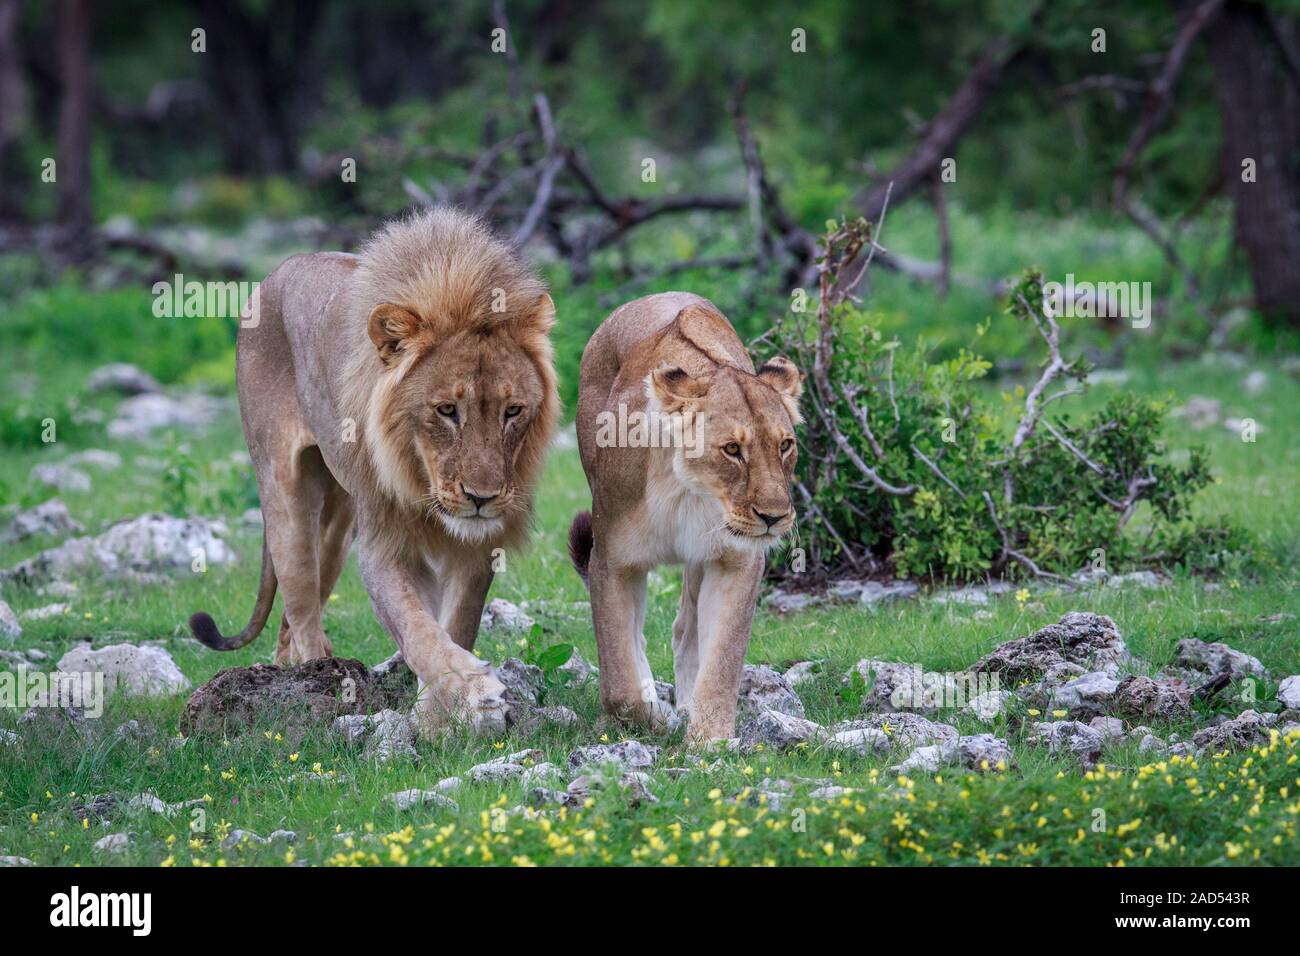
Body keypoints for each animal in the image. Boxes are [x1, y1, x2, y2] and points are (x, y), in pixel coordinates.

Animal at [188, 207, 559, 737]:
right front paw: (472, 693)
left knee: (297, 610)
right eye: (447, 410)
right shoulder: (385, 545)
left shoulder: (475, 548)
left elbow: (454, 625)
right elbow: (418, 628)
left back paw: (284, 670)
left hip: (340, 519)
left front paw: (437, 712)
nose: (482, 497)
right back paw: (317, 676)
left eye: (513, 411)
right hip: (283, 490)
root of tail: (280, 269)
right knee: (301, 602)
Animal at [568, 293, 803, 744]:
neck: (690, 493)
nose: (774, 517)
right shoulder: (611, 559)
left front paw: (709, 739)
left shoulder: (737, 561)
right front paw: (654, 718)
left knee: (686, 630)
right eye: (732, 450)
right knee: (638, 636)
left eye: (785, 445)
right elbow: (618, 679)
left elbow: (723, 659)